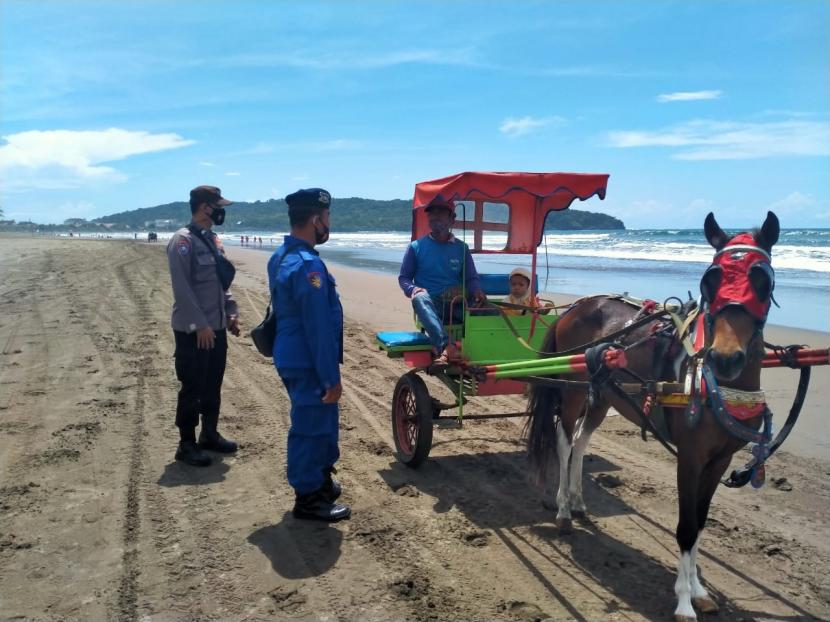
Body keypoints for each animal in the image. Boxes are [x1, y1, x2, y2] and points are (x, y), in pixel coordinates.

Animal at [528, 212, 784, 620]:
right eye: (710, 279)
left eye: (762, 278)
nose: (725, 358)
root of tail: (576, 307)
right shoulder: (690, 457)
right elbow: (686, 526)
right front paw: (683, 601)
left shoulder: (719, 459)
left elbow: (701, 521)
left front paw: (698, 590)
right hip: (572, 390)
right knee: (565, 441)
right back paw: (564, 510)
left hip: (603, 395)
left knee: (582, 440)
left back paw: (578, 501)